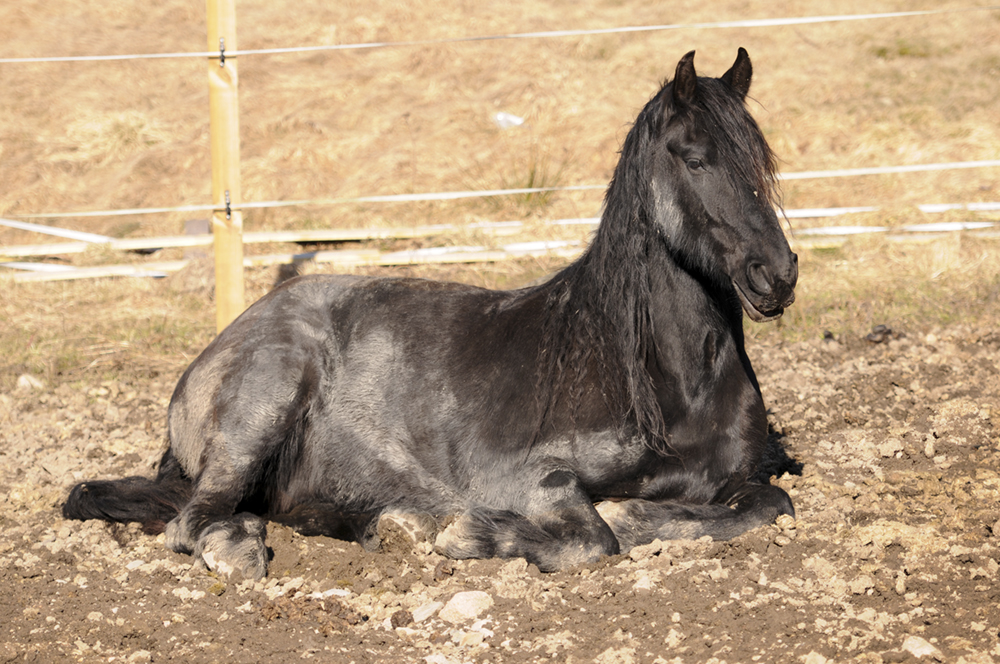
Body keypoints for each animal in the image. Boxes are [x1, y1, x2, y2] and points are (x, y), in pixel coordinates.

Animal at [63, 48, 798, 580]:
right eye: (694, 158)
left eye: (761, 160)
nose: (778, 273)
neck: (668, 386)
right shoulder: (528, 479)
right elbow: (593, 538)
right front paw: (473, 532)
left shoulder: (744, 481)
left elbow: (766, 505)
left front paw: (644, 516)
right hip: (265, 402)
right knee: (196, 518)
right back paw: (253, 551)